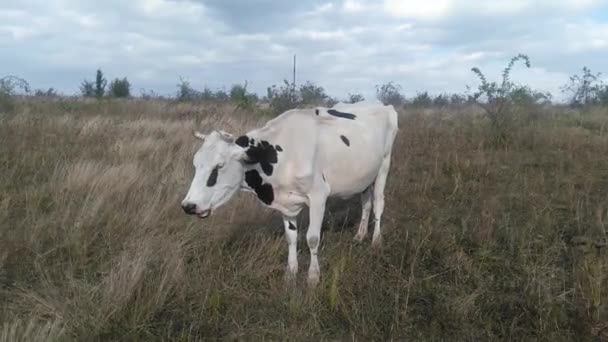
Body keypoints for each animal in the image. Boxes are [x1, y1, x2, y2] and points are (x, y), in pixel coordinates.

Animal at [180, 101, 400, 286]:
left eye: (219, 166)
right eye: (195, 164)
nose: (188, 205)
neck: (283, 156)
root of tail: (381, 104)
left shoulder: (319, 195)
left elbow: (312, 238)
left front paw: (313, 276)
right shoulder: (286, 203)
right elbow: (291, 237)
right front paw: (291, 272)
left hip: (384, 165)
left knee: (378, 203)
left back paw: (376, 241)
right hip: (365, 176)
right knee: (366, 203)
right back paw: (360, 235)